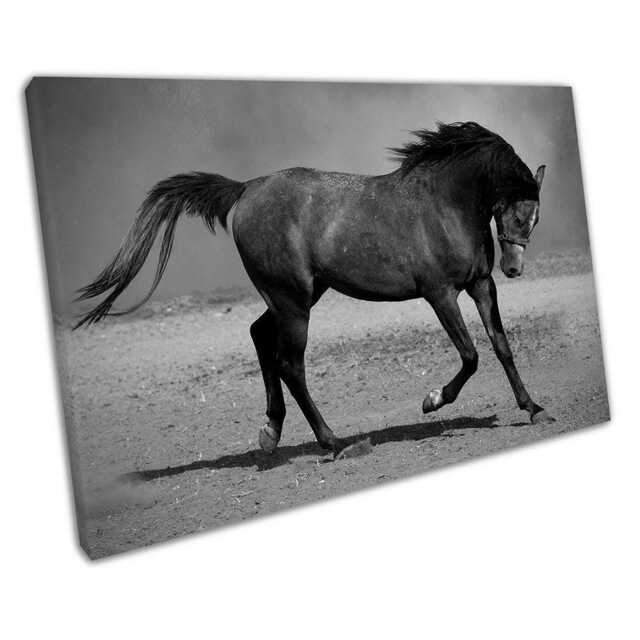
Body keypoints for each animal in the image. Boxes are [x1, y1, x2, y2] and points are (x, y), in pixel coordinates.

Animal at [75, 121, 553, 456]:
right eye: (515, 210)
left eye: (536, 216)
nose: (514, 268)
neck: (443, 206)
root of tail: (245, 190)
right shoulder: (440, 294)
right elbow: (471, 355)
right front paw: (432, 400)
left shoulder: (481, 285)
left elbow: (501, 346)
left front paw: (532, 408)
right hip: (294, 302)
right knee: (290, 365)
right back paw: (335, 442)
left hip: (298, 296)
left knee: (259, 336)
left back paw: (271, 433)